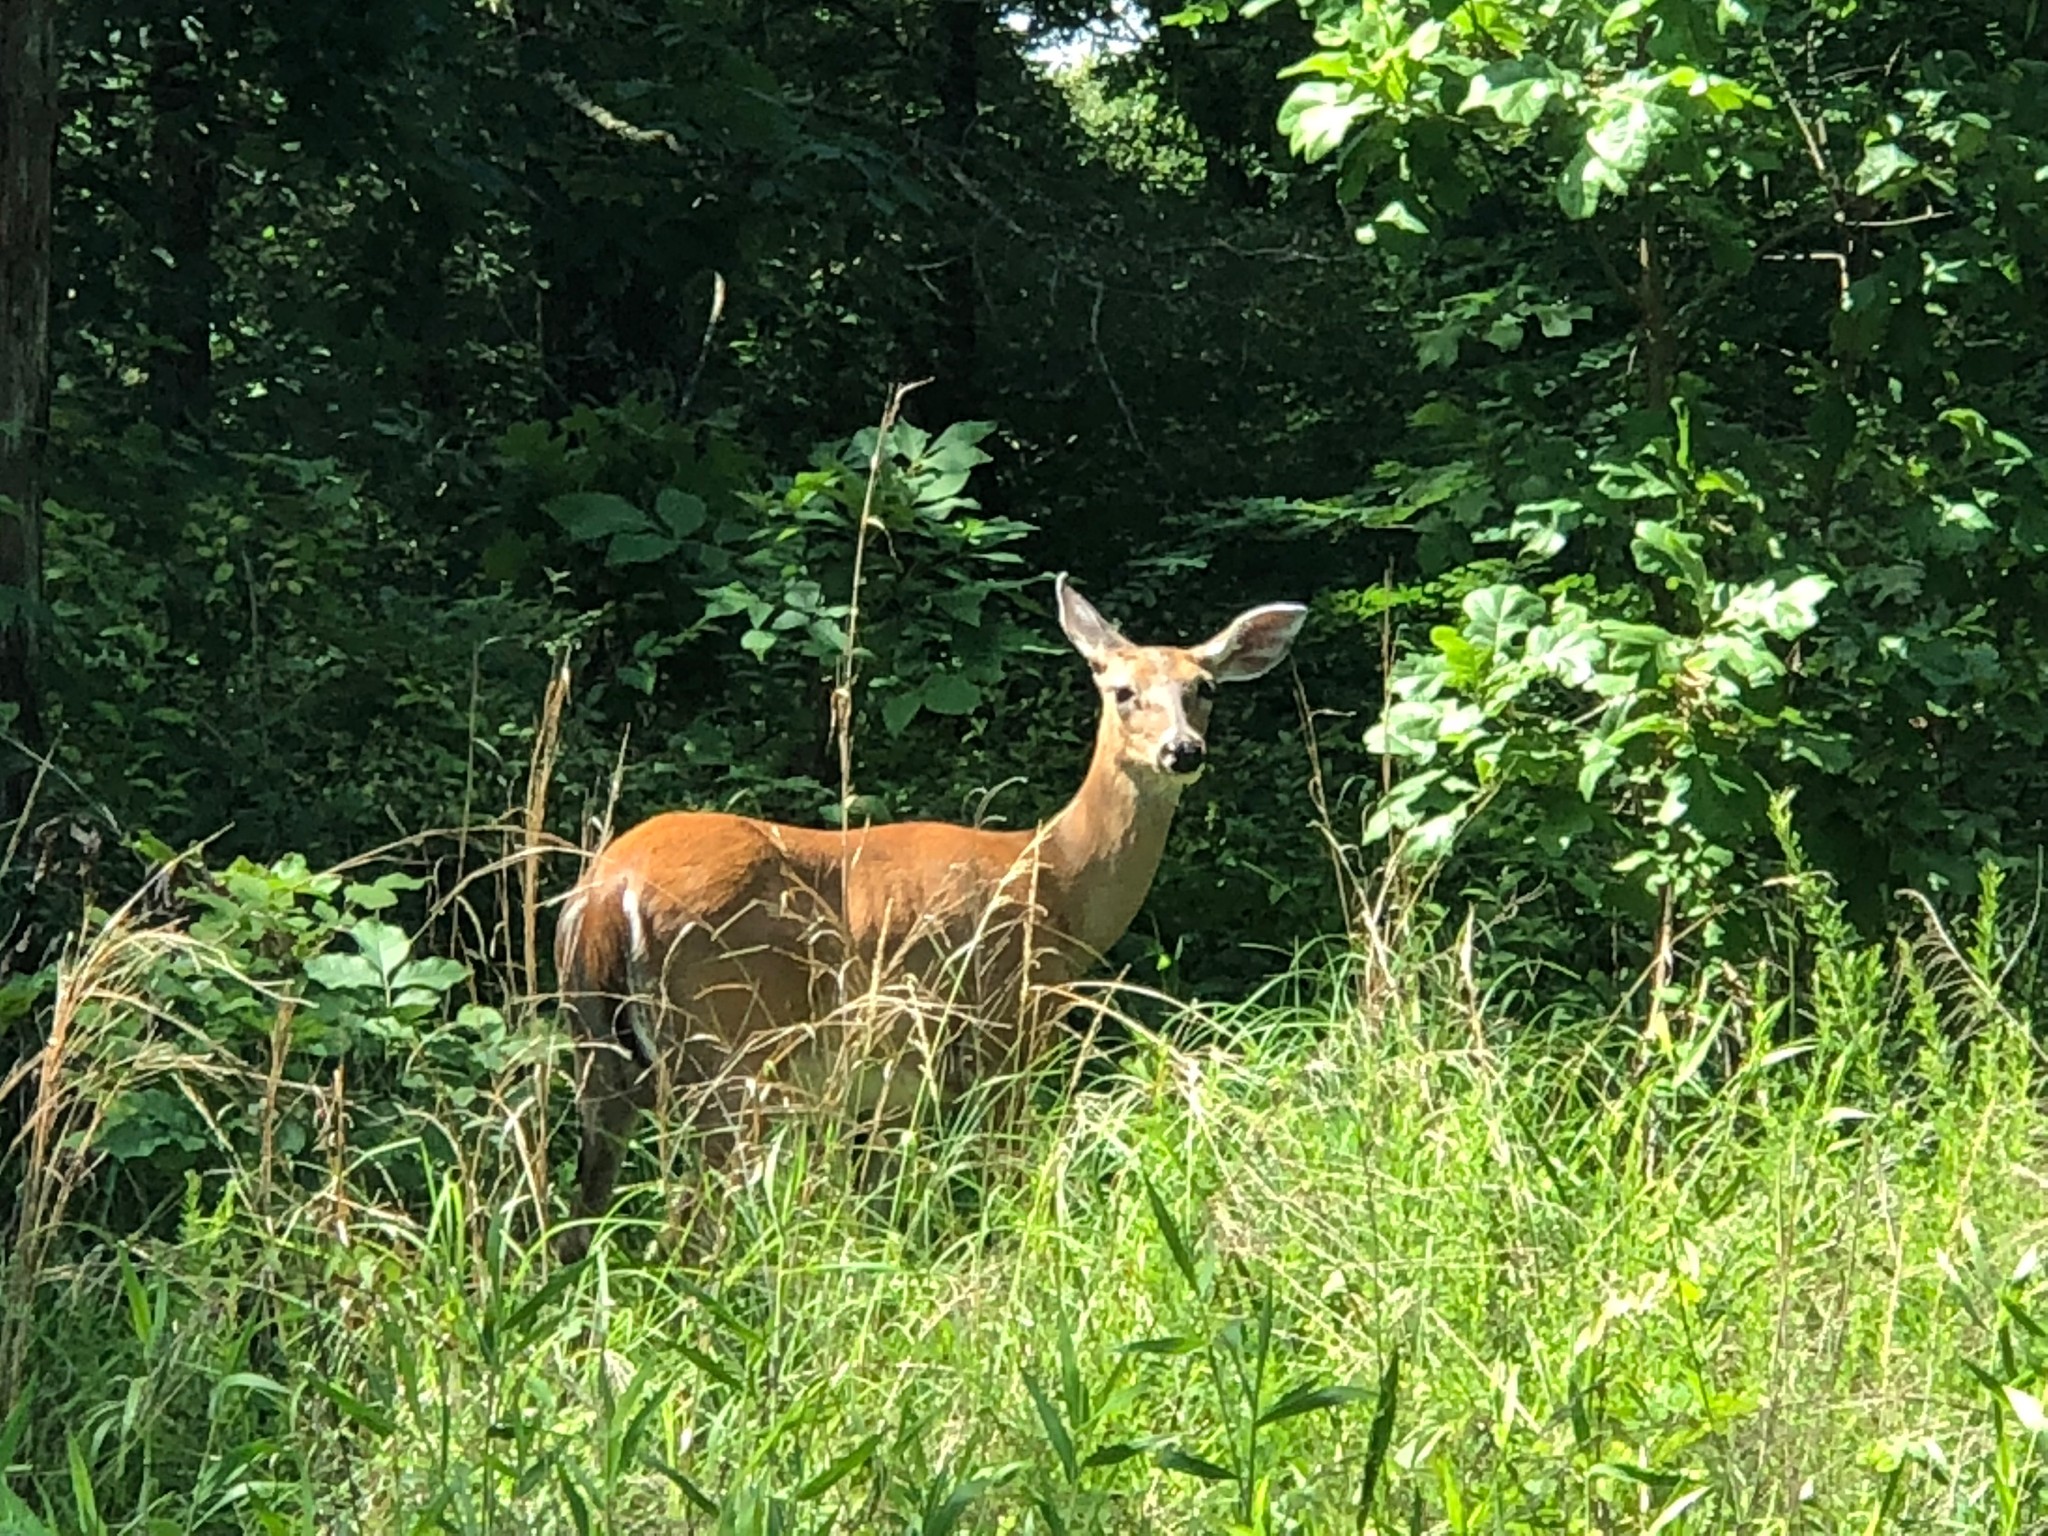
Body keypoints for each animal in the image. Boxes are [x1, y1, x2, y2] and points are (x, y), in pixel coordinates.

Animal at [552, 577, 1302, 1261]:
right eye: (1121, 691)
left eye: (1205, 688)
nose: (1183, 750)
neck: (1058, 878)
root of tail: (610, 888)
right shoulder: (1007, 1029)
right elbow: (1006, 1176)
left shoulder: (888, 1086)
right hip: (729, 1043)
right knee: (683, 1230)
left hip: (602, 1053)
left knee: (577, 1222)